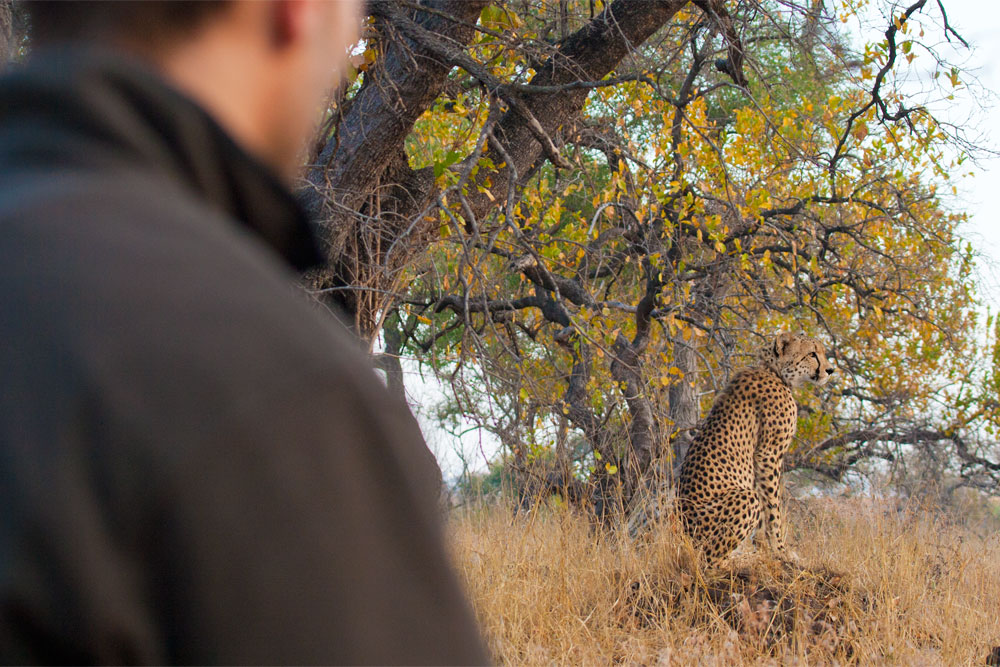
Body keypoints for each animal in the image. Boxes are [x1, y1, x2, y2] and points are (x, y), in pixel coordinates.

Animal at [672, 334, 836, 564]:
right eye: (812, 354)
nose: (830, 370)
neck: (773, 370)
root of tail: (684, 536)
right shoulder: (768, 453)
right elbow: (773, 507)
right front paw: (780, 550)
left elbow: (766, 508)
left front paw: (764, 549)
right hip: (743, 498)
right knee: (710, 560)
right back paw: (743, 559)